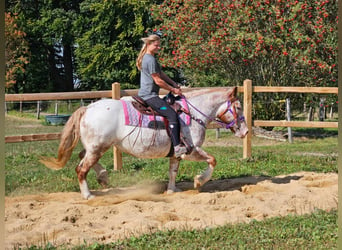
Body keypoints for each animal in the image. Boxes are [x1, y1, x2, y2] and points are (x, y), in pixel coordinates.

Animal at [40, 86, 248, 199]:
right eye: (238, 107)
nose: (245, 131)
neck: (191, 114)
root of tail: (87, 108)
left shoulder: (176, 154)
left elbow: (173, 171)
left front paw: (172, 190)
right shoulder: (192, 150)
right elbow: (212, 160)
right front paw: (199, 181)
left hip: (95, 147)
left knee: (82, 156)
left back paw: (103, 177)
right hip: (98, 148)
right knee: (81, 168)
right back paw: (88, 194)